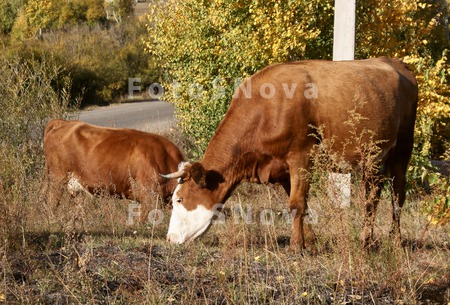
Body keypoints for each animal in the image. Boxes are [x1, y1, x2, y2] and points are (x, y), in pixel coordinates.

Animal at [162, 57, 418, 249]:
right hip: (372, 156)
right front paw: (310, 241)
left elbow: (296, 203)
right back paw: (370, 240)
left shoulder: (301, 156)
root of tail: (393, 62)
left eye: (179, 199)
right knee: (372, 195)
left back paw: (392, 241)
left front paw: (296, 246)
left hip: (403, 148)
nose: (169, 239)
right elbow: (300, 203)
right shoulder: (281, 167)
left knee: (396, 195)